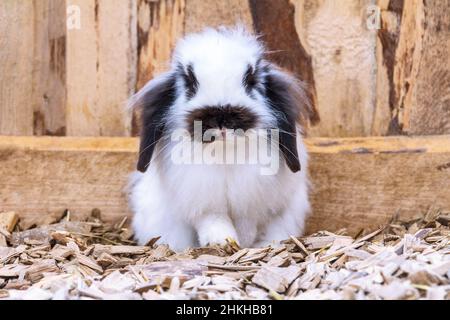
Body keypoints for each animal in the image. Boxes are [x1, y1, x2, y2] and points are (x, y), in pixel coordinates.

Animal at [126, 26, 318, 250]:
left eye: (250, 80)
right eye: (190, 82)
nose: (222, 117)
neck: (224, 152)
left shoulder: (251, 202)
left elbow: (247, 224)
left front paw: (243, 244)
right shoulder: (203, 201)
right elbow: (213, 221)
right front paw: (223, 242)